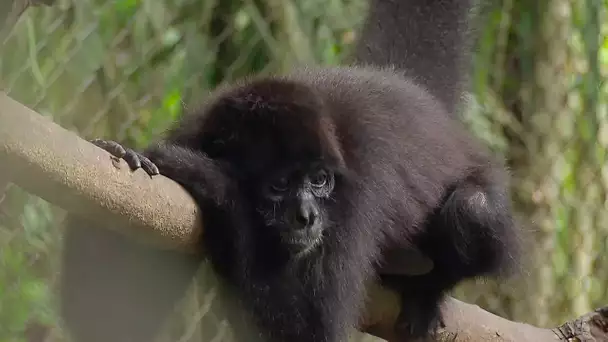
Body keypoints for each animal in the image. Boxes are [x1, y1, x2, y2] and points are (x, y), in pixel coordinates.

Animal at [59, 0, 520, 342]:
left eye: (320, 180)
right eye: (279, 186)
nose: (307, 216)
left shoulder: (359, 188)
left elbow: (311, 329)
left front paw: (211, 180)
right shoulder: (193, 127)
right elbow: (107, 316)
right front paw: (123, 152)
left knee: (473, 206)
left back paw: (428, 289)